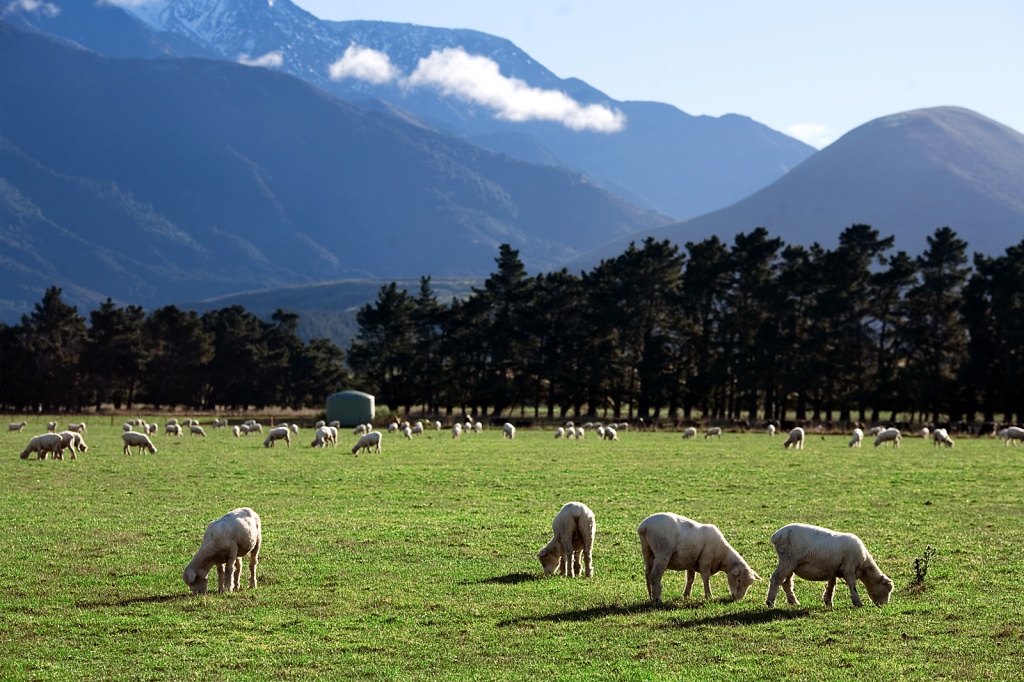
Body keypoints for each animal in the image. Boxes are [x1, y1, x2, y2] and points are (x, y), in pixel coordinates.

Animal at [634, 509, 765, 602]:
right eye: (738, 580)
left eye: (749, 585)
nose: (738, 599)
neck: (722, 555)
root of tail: (644, 527)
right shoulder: (705, 560)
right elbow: (705, 578)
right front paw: (709, 596)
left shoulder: (691, 561)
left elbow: (690, 579)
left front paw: (686, 595)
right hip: (662, 551)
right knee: (655, 575)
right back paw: (657, 599)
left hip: (647, 551)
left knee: (648, 574)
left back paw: (651, 597)